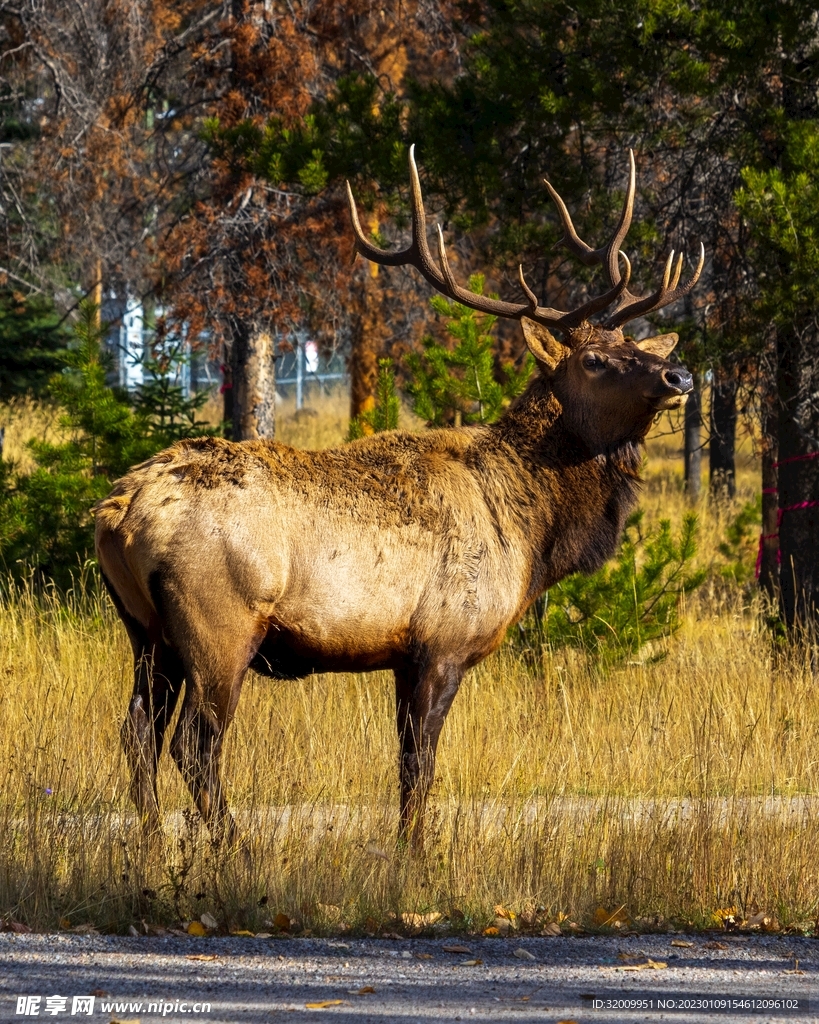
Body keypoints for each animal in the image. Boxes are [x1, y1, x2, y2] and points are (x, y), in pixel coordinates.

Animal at [94, 147, 703, 851]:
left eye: (635, 346)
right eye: (596, 360)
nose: (679, 374)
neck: (532, 533)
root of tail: (117, 513)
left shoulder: (402, 657)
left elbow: (407, 763)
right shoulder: (441, 642)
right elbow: (420, 766)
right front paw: (414, 853)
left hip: (146, 631)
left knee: (138, 734)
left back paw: (150, 843)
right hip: (217, 623)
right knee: (195, 743)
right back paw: (234, 847)